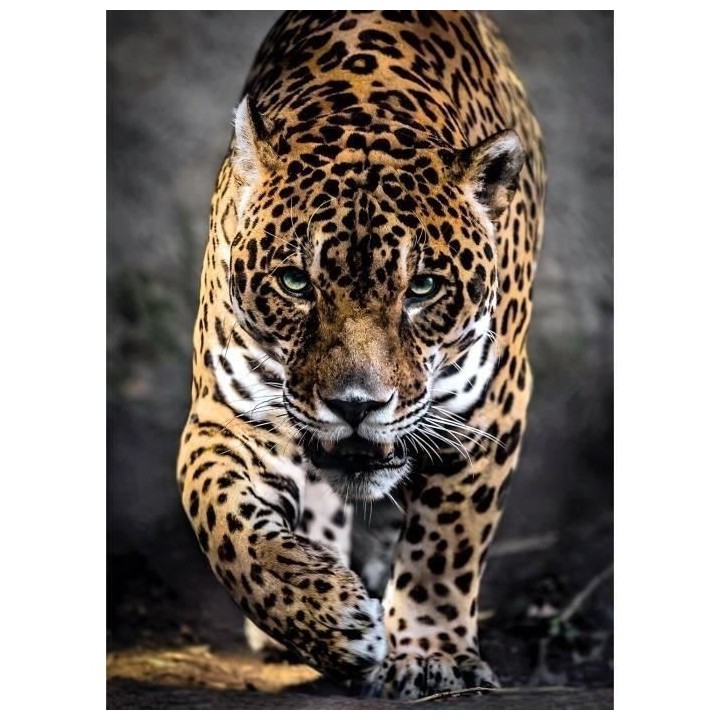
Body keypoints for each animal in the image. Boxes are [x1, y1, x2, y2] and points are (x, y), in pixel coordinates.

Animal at [177, 10, 545, 700]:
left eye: (422, 287)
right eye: (296, 282)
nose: (356, 405)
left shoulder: (488, 410)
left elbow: (445, 544)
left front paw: (431, 656)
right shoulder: (226, 415)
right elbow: (225, 524)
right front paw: (328, 619)